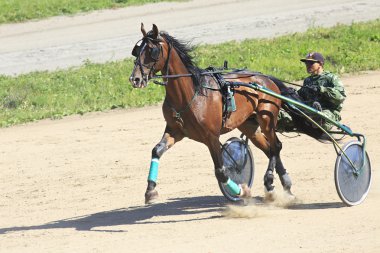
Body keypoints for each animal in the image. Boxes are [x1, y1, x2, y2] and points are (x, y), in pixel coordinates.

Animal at [129, 24, 292, 204]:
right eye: (137, 50)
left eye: (152, 50)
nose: (135, 79)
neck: (190, 94)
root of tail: (266, 78)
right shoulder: (175, 130)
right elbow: (156, 150)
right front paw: (150, 191)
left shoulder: (211, 137)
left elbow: (221, 172)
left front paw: (242, 191)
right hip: (249, 125)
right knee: (269, 149)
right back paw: (278, 185)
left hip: (266, 118)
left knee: (276, 146)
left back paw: (274, 181)